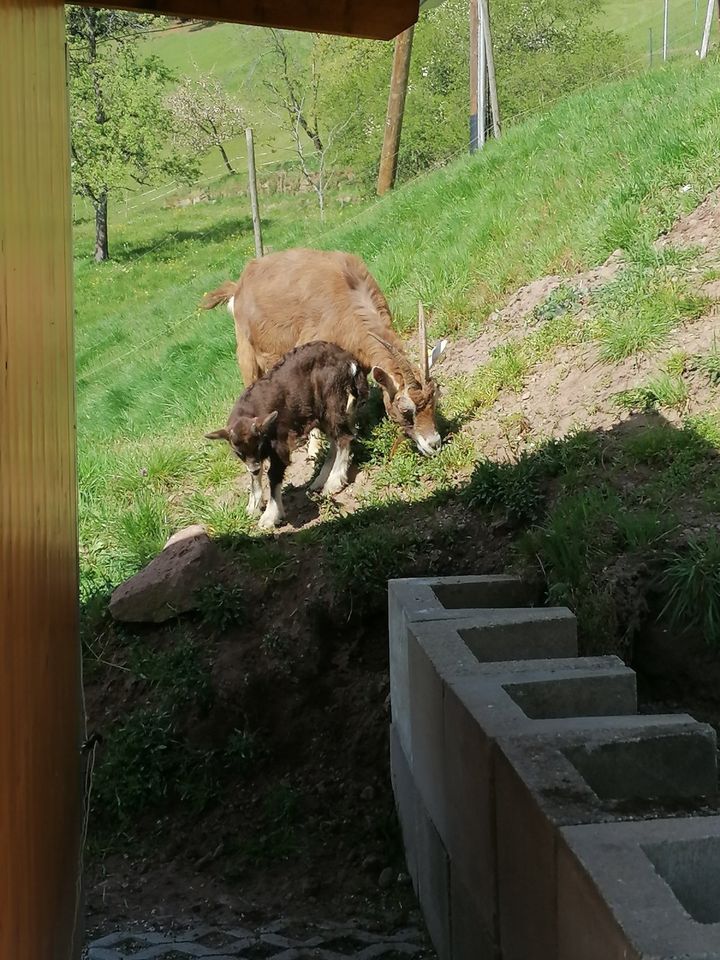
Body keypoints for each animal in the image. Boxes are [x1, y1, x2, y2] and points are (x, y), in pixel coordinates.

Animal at [202, 248, 448, 458]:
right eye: (406, 410)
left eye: (435, 398)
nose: (434, 444)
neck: (346, 299)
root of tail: (240, 284)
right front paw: (316, 449)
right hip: (247, 353)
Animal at [205, 340, 368, 532]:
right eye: (238, 453)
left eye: (259, 446)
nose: (254, 468)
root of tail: (348, 359)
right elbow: (255, 476)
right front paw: (253, 506)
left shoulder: (279, 442)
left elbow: (273, 474)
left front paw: (270, 516)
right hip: (320, 411)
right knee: (336, 440)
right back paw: (319, 481)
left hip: (332, 398)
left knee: (343, 438)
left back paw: (333, 482)